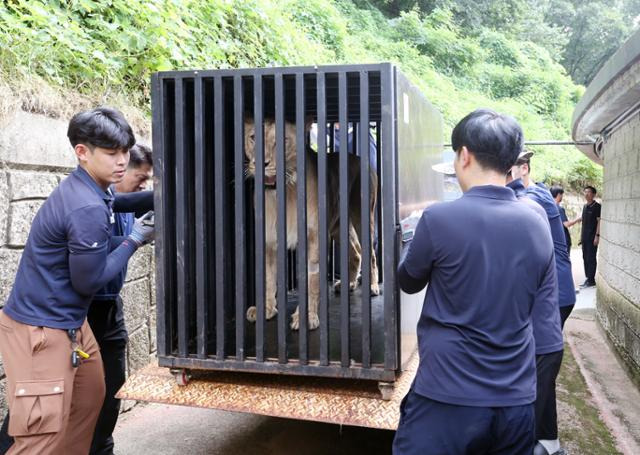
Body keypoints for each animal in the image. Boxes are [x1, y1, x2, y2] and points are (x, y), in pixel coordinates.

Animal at [244, 118, 378, 332]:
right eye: (253, 137)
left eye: (283, 139)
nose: (261, 163)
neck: (284, 193)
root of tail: (361, 160)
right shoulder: (268, 240)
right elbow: (268, 277)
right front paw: (266, 309)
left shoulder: (313, 239)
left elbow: (311, 280)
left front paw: (306, 317)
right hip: (338, 226)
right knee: (356, 252)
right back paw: (347, 284)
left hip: (363, 218)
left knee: (370, 254)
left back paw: (373, 287)